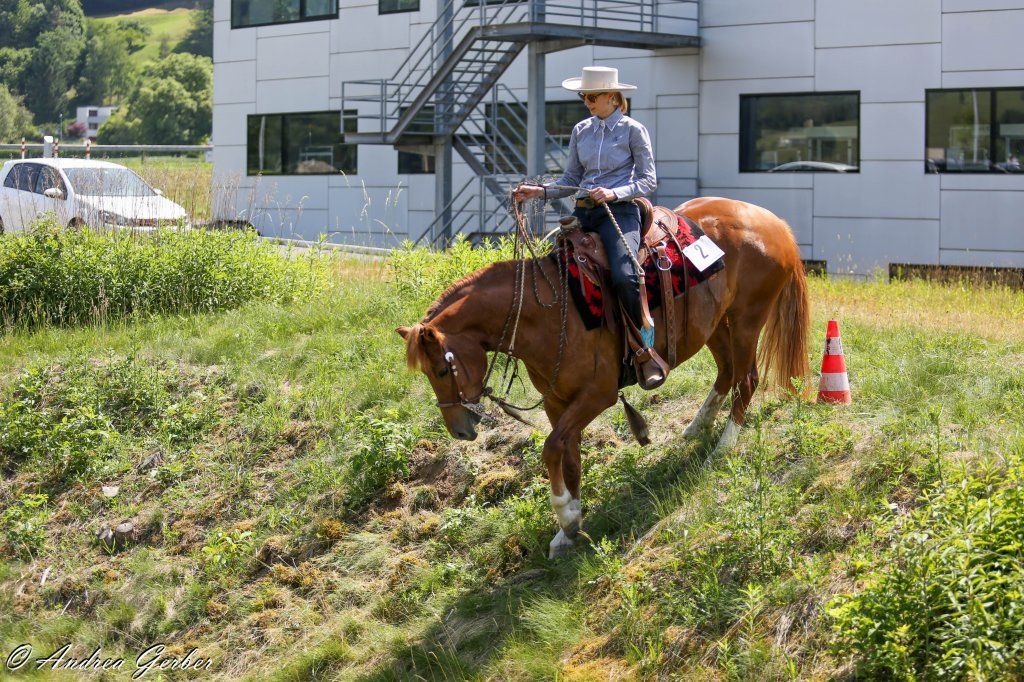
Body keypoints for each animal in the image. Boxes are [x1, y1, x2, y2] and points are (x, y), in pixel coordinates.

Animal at [397, 197, 810, 559]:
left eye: (442, 369)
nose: (460, 431)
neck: (546, 311)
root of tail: (775, 224)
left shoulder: (597, 395)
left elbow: (552, 448)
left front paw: (565, 515)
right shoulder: (557, 402)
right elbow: (569, 457)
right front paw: (568, 529)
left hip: (746, 319)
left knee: (747, 379)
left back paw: (722, 447)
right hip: (714, 323)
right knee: (726, 373)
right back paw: (696, 427)